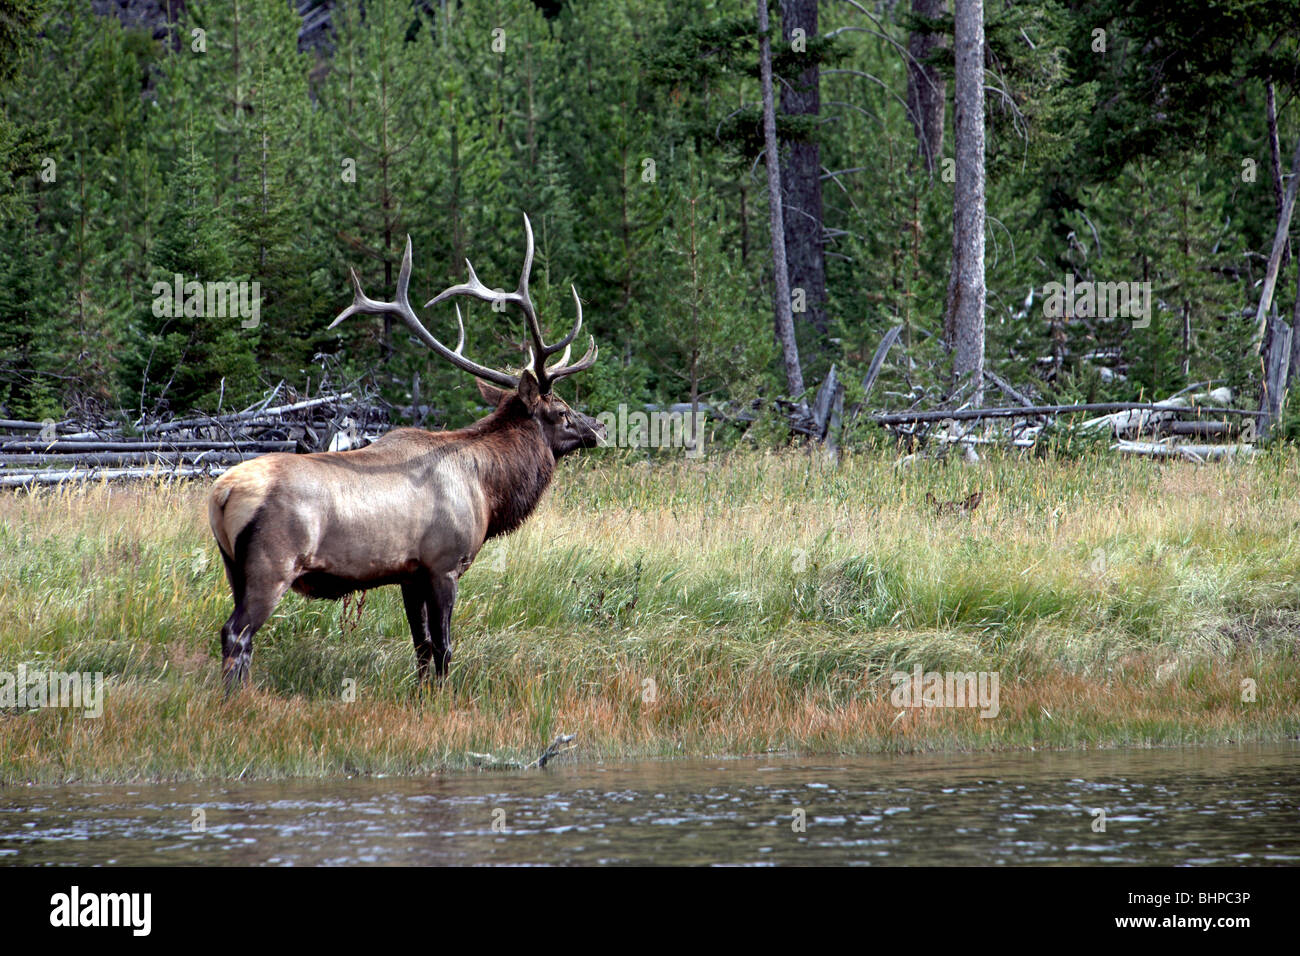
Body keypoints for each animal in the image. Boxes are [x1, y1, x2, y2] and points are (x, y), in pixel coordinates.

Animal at [208, 218, 603, 686]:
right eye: (561, 411)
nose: (598, 428)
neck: (489, 491)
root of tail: (221, 495)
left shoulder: (408, 574)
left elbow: (421, 645)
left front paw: (421, 692)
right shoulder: (443, 564)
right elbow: (445, 647)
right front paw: (444, 694)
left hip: (233, 568)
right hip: (272, 564)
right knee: (236, 633)